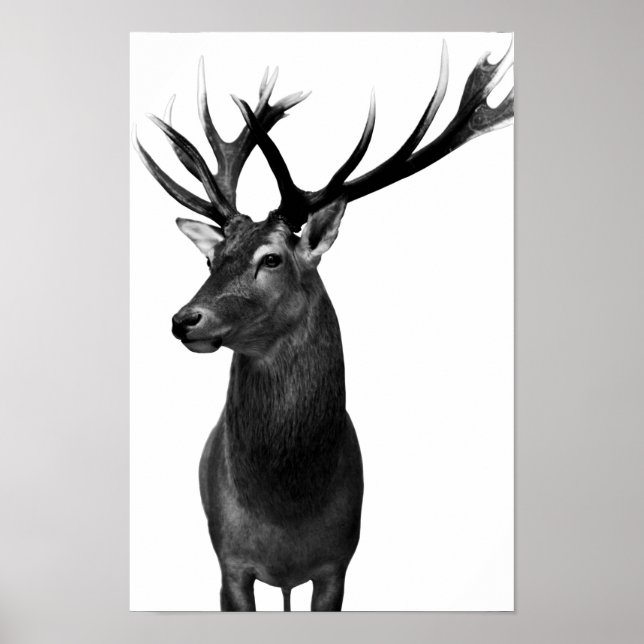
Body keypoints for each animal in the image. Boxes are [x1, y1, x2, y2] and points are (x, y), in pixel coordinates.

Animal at [132, 39, 514, 612]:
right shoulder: (229, 564)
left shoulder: (338, 563)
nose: (184, 319)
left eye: (271, 259)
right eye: (211, 258)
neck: (287, 514)